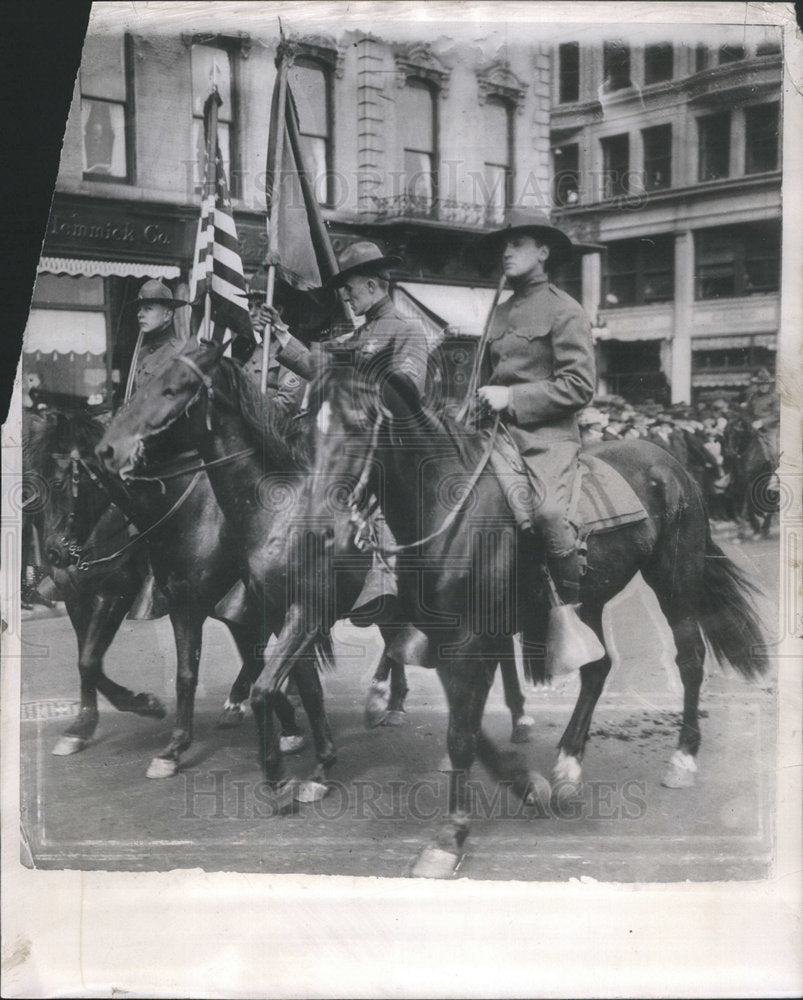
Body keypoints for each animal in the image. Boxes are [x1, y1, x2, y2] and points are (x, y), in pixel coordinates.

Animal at [258, 350, 772, 876]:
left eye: (361, 423)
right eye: (303, 426)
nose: (313, 531)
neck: (449, 511)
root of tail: (670, 462)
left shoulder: (471, 639)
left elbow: (461, 732)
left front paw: (450, 836)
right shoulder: (448, 636)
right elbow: (466, 725)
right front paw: (525, 784)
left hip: (674, 579)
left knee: (690, 660)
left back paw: (682, 759)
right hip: (588, 598)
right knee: (598, 667)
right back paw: (567, 765)